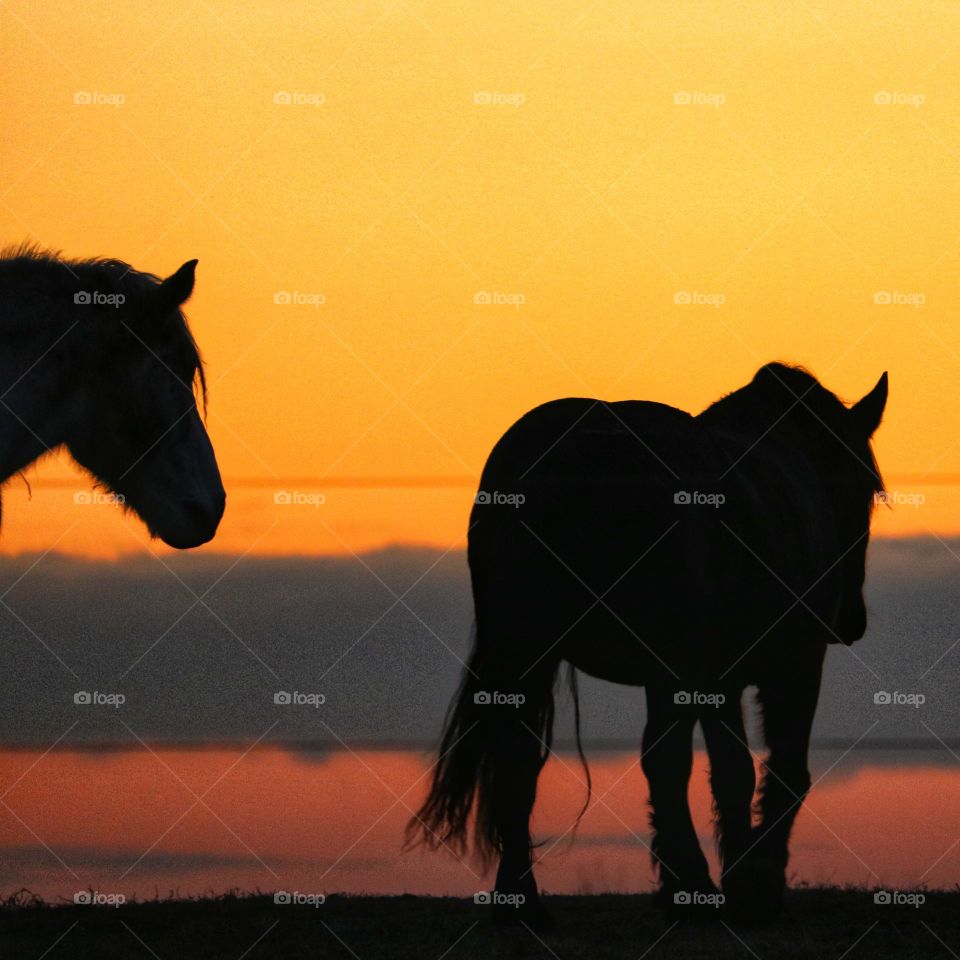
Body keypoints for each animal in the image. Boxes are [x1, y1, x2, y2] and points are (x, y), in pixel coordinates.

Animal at [408, 363, 887, 926]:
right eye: (865, 489)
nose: (850, 620)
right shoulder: (787, 664)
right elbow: (766, 769)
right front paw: (753, 886)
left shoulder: (691, 675)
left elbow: (691, 766)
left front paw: (706, 884)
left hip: (530, 651)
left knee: (520, 757)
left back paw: (523, 899)